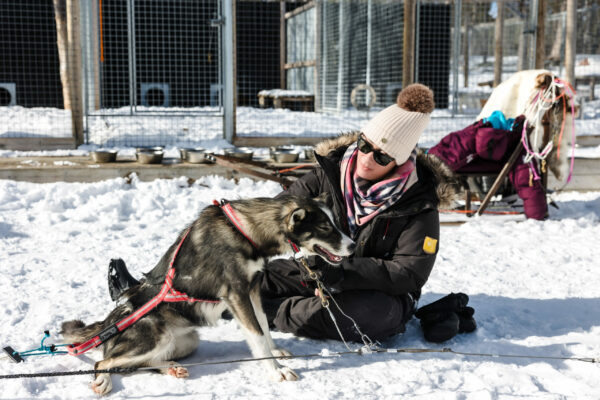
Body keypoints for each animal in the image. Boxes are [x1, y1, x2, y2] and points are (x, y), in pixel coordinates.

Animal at [61, 194, 355, 395]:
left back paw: (171, 367)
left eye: (336, 223)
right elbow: (257, 335)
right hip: (154, 335)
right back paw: (103, 380)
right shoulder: (236, 294)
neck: (243, 231)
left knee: (142, 362)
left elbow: (264, 327)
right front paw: (275, 371)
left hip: (187, 340)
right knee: (104, 362)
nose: (353, 246)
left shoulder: (253, 289)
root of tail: (110, 322)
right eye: (326, 228)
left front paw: (274, 351)